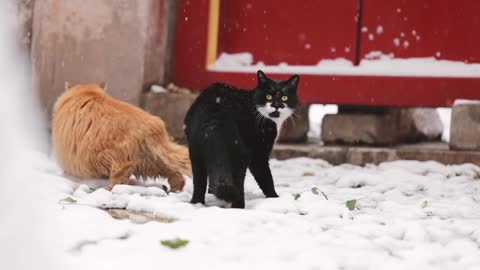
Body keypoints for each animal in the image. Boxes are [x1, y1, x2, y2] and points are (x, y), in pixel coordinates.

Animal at [52, 81, 191, 191]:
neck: (87, 92)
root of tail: (151, 123)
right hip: (150, 162)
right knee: (176, 173)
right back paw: (175, 190)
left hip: (109, 158)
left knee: (120, 179)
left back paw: (109, 190)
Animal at [183, 70, 298, 209]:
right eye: (268, 96)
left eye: (284, 98)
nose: (276, 106)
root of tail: (214, 112)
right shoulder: (259, 153)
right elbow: (266, 177)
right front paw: (275, 198)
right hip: (240, 153)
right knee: (238, 181)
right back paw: (238, 207)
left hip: (195, 150)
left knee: (199, 181)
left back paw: (196, 203)